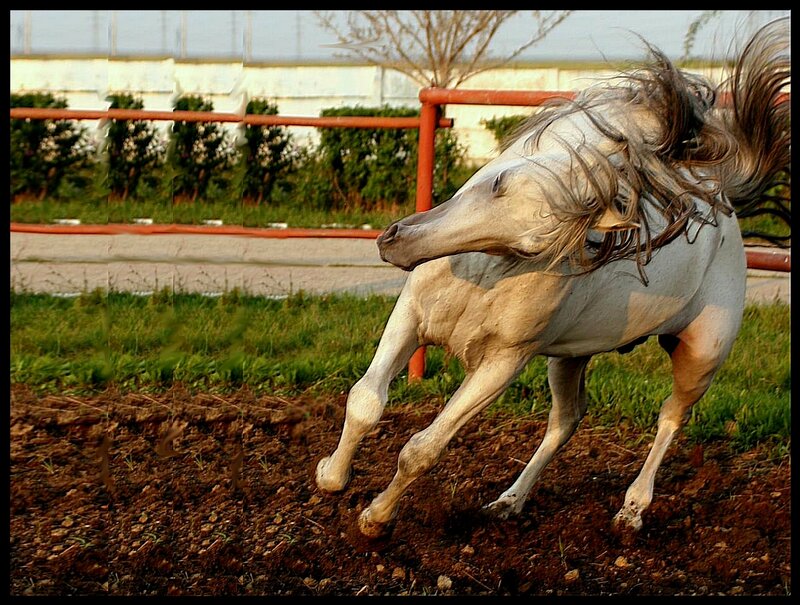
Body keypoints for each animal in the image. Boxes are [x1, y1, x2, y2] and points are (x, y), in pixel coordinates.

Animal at [315, 18, 791, 539]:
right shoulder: (411, 316)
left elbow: (423, 449)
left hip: (700, 356)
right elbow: (365, 401)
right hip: (570, 357)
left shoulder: (503, 364)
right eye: (497, 183)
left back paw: (631, 510)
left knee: (670, 418)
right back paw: (508, 502)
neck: (486, 275)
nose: (396, 243)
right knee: (567, 419)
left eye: (530, 248)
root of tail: (725, 209)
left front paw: (375, 518)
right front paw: (331, 477)